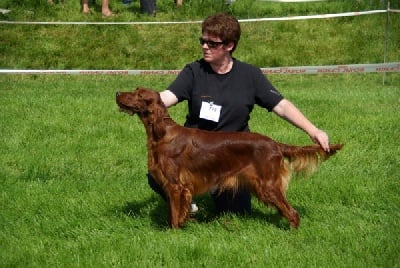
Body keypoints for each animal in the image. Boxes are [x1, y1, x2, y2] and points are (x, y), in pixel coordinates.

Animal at [115, 87, 344, 228]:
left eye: (138, 94)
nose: (117, 92)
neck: (162, 134)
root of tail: (275, 144)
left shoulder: (175, 186)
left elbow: (173, 217)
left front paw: (172, 234)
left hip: (268, 185)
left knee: (293, 213)